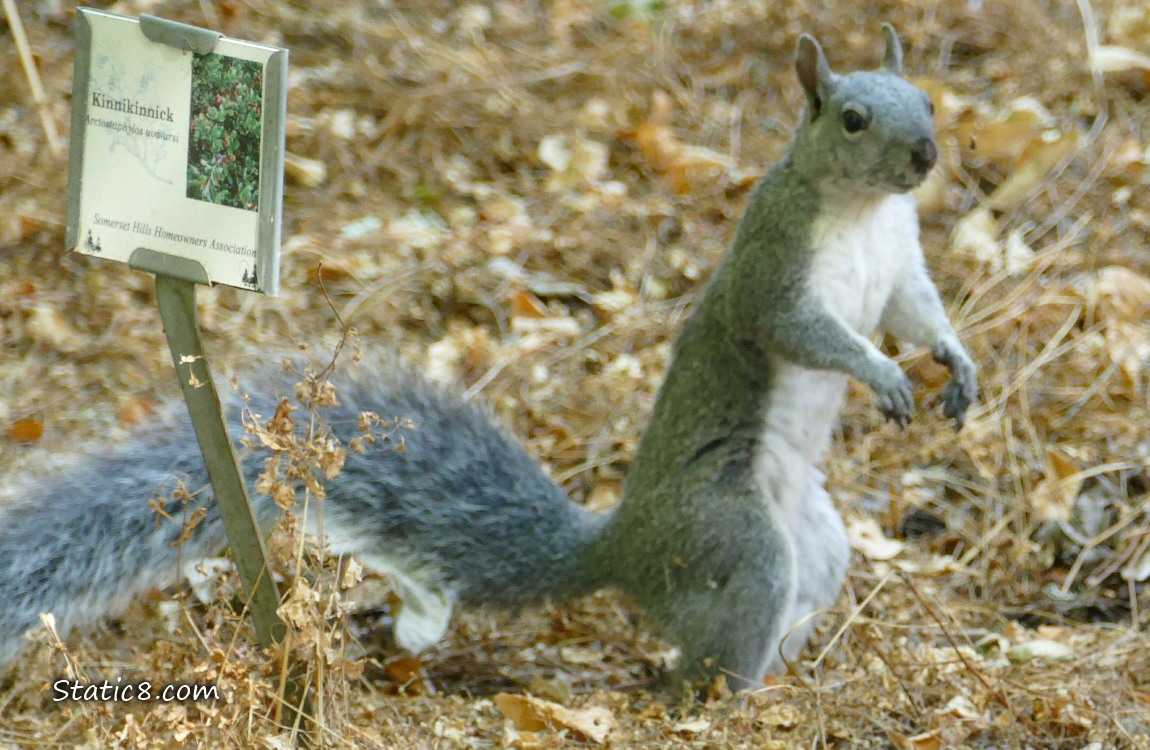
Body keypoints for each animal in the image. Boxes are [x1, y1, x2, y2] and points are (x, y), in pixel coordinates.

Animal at [0, 25, 976, 695]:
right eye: (853, 119)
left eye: (929, 101)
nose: (928, 155)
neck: (859, 212)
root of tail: (619, 550)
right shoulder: (772, 275)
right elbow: (807, 332)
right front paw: (883, 374)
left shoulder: (899, 264)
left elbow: (915, 309)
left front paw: (953, 364)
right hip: (728, 532)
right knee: (707, 654)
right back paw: (734, 699)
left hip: (817, 543)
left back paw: (792, 678)